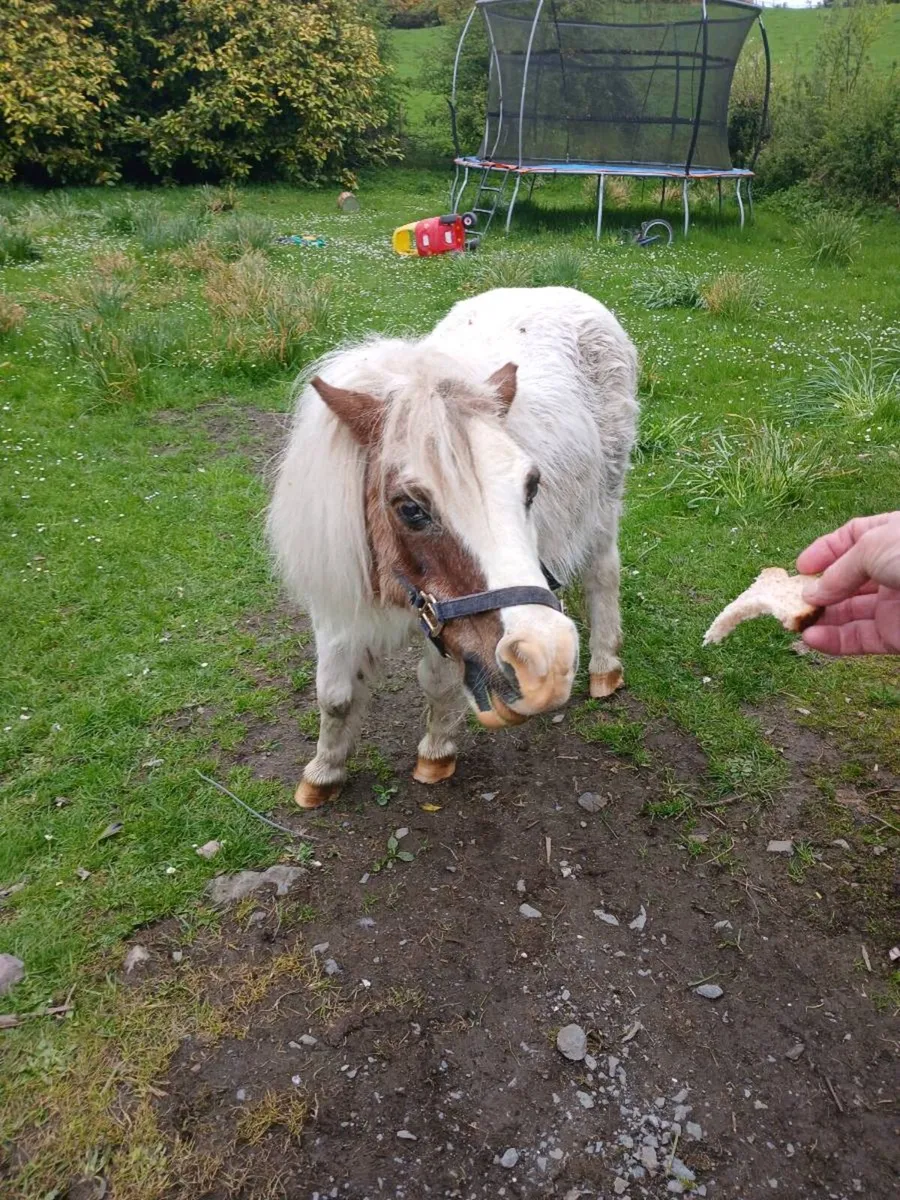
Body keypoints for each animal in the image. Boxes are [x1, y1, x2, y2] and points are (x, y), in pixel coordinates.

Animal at [266, 286, 638, 808]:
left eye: (531, 486)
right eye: (410, 508)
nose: (547, 661)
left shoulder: (445, 626)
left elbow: (439, 686)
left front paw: (436, 754)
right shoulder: (340, 608)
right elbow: (335, 696)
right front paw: (323, 773)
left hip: (605, 502)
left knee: (603, 573)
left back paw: (605, 666)